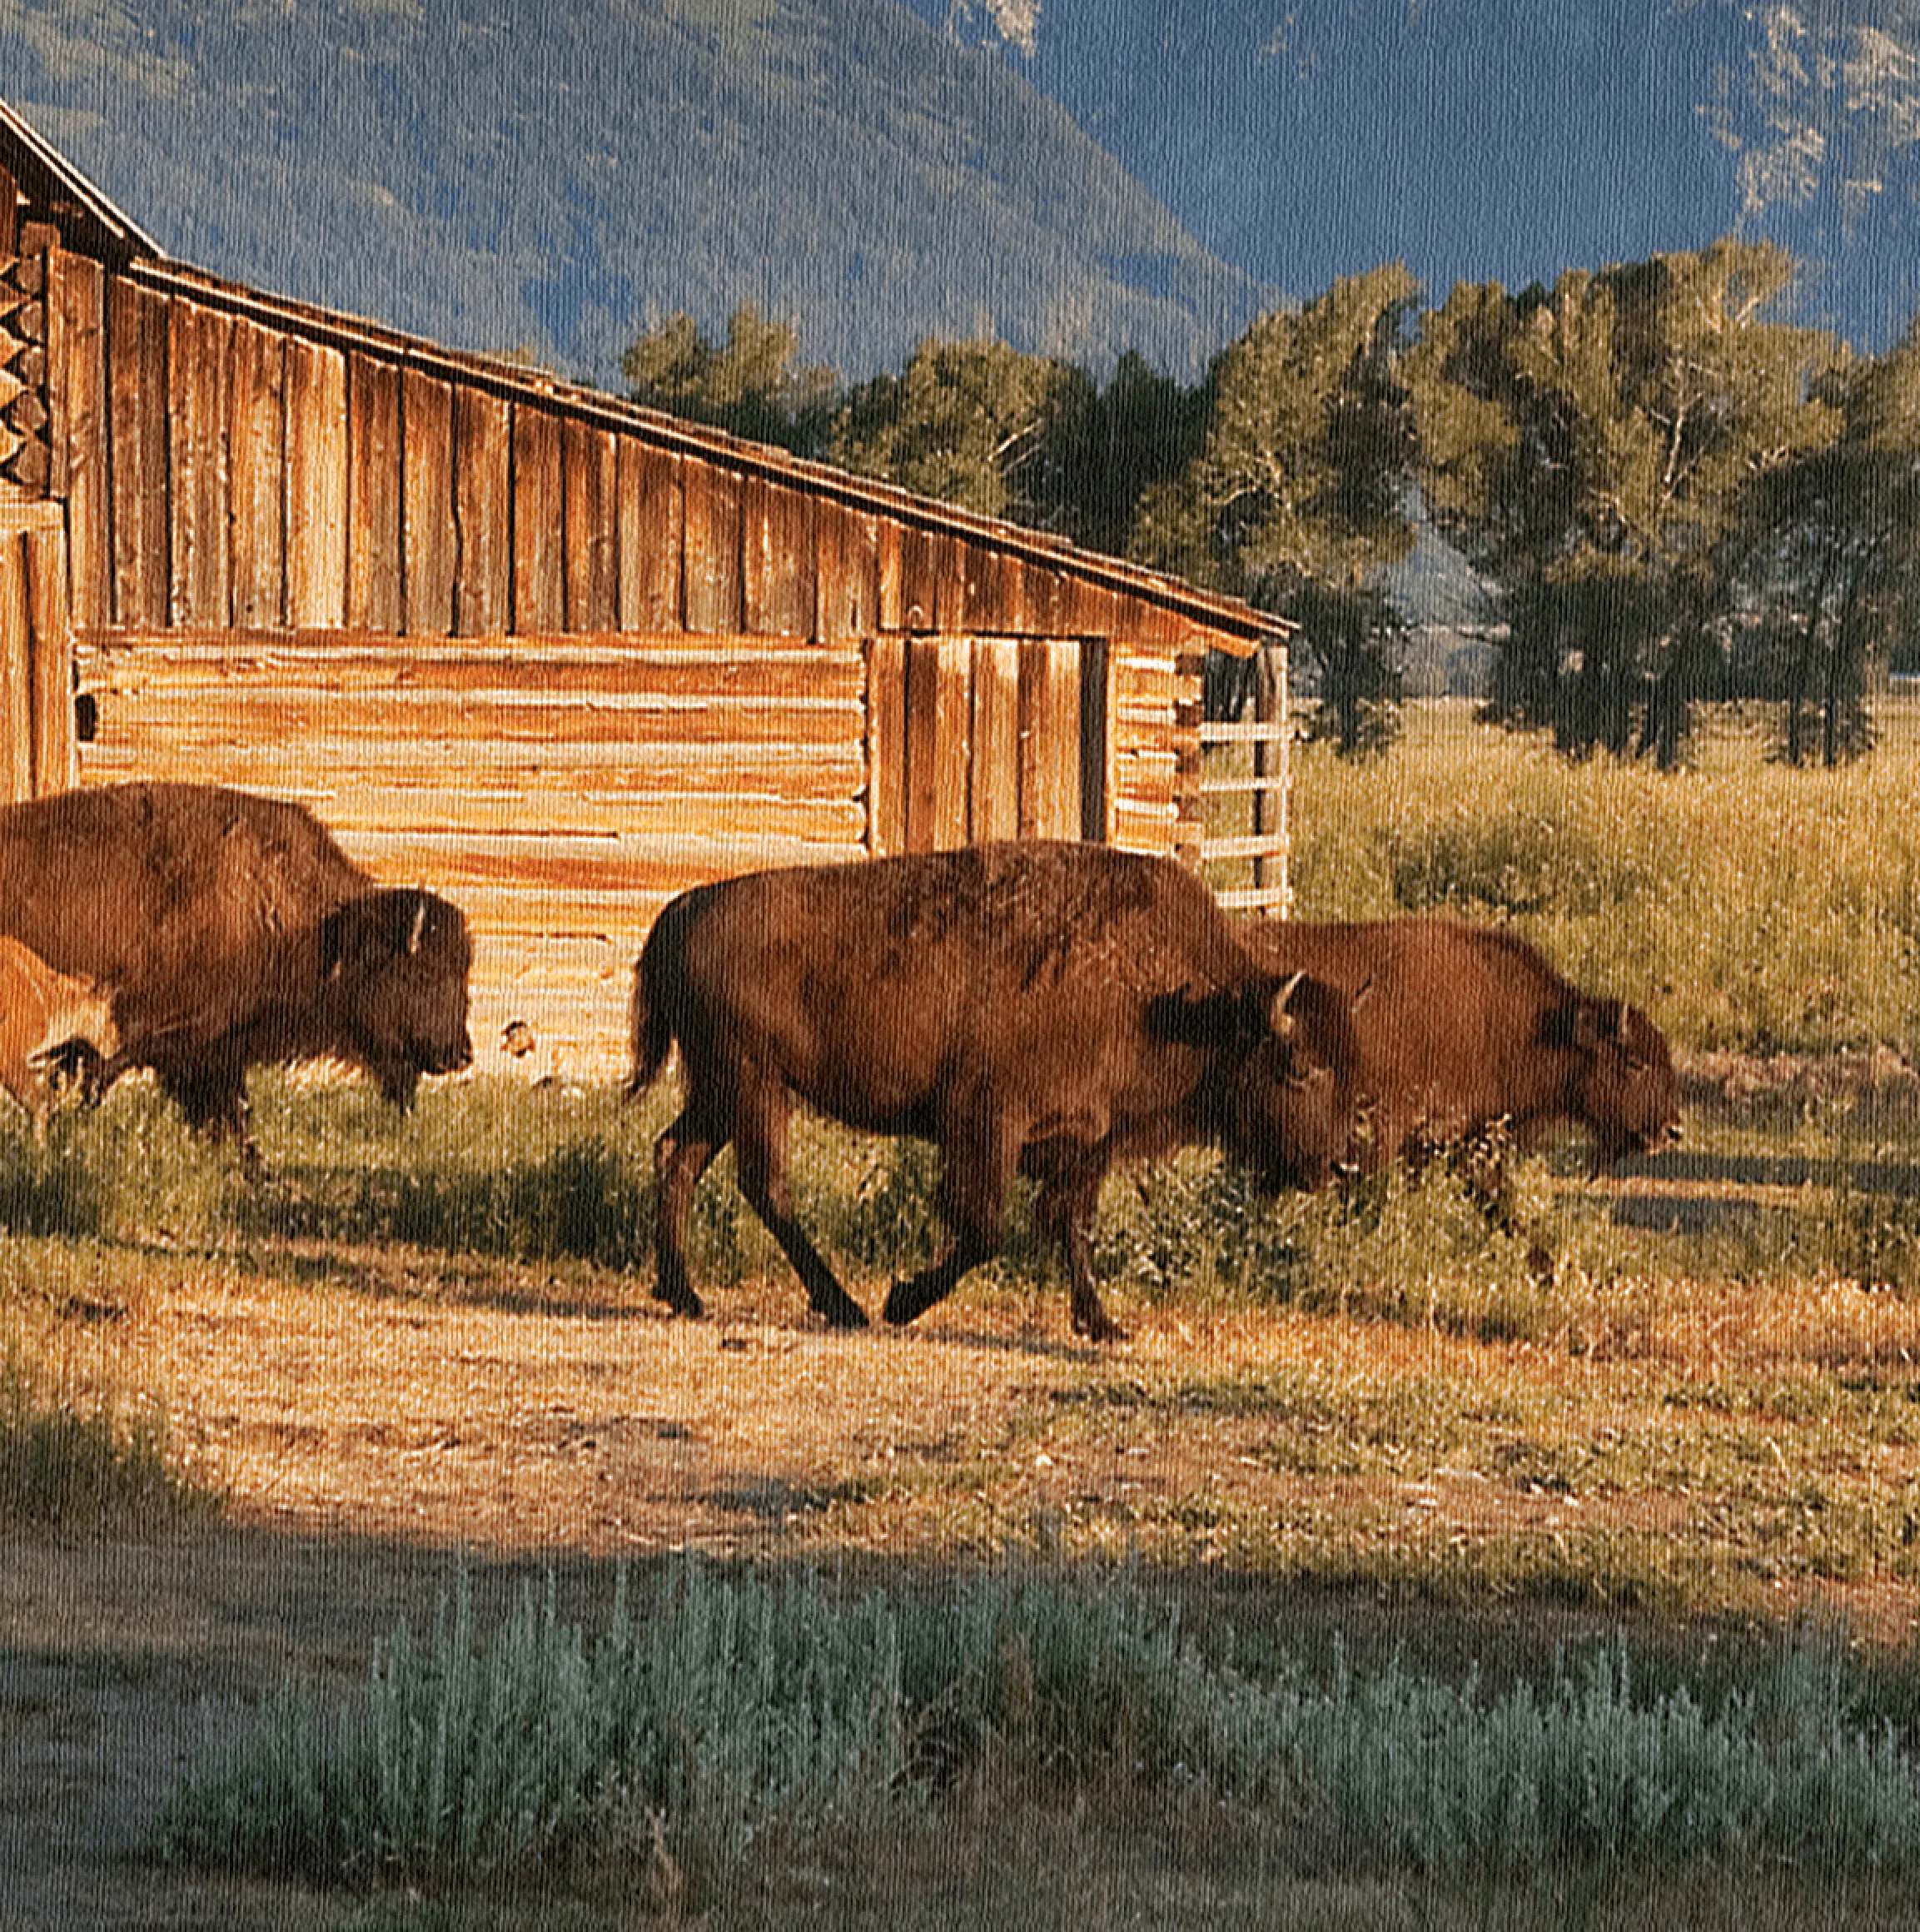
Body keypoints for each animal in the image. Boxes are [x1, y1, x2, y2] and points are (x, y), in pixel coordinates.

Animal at [0, 780, 477, 1151]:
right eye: (423, 973)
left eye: (464, 975)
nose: (462, 1053)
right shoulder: (164, 1041)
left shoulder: (214, 1050)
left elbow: (232, 1119)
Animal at [622, 846, 1351, 1344]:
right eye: (1299, 1068)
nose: (1337, 1163)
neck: (1173, 998)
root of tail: (682, 910)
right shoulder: (987, 1121)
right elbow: (983, 1230)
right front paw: (902, 1301)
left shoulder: (1086, 1141)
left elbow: (1069, 1225)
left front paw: (1101, 1324)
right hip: (754, 1085)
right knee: (765, 1185)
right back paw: (845, 1307)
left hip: (721, 1092)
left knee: (676, 1156)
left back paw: (685, 1294)